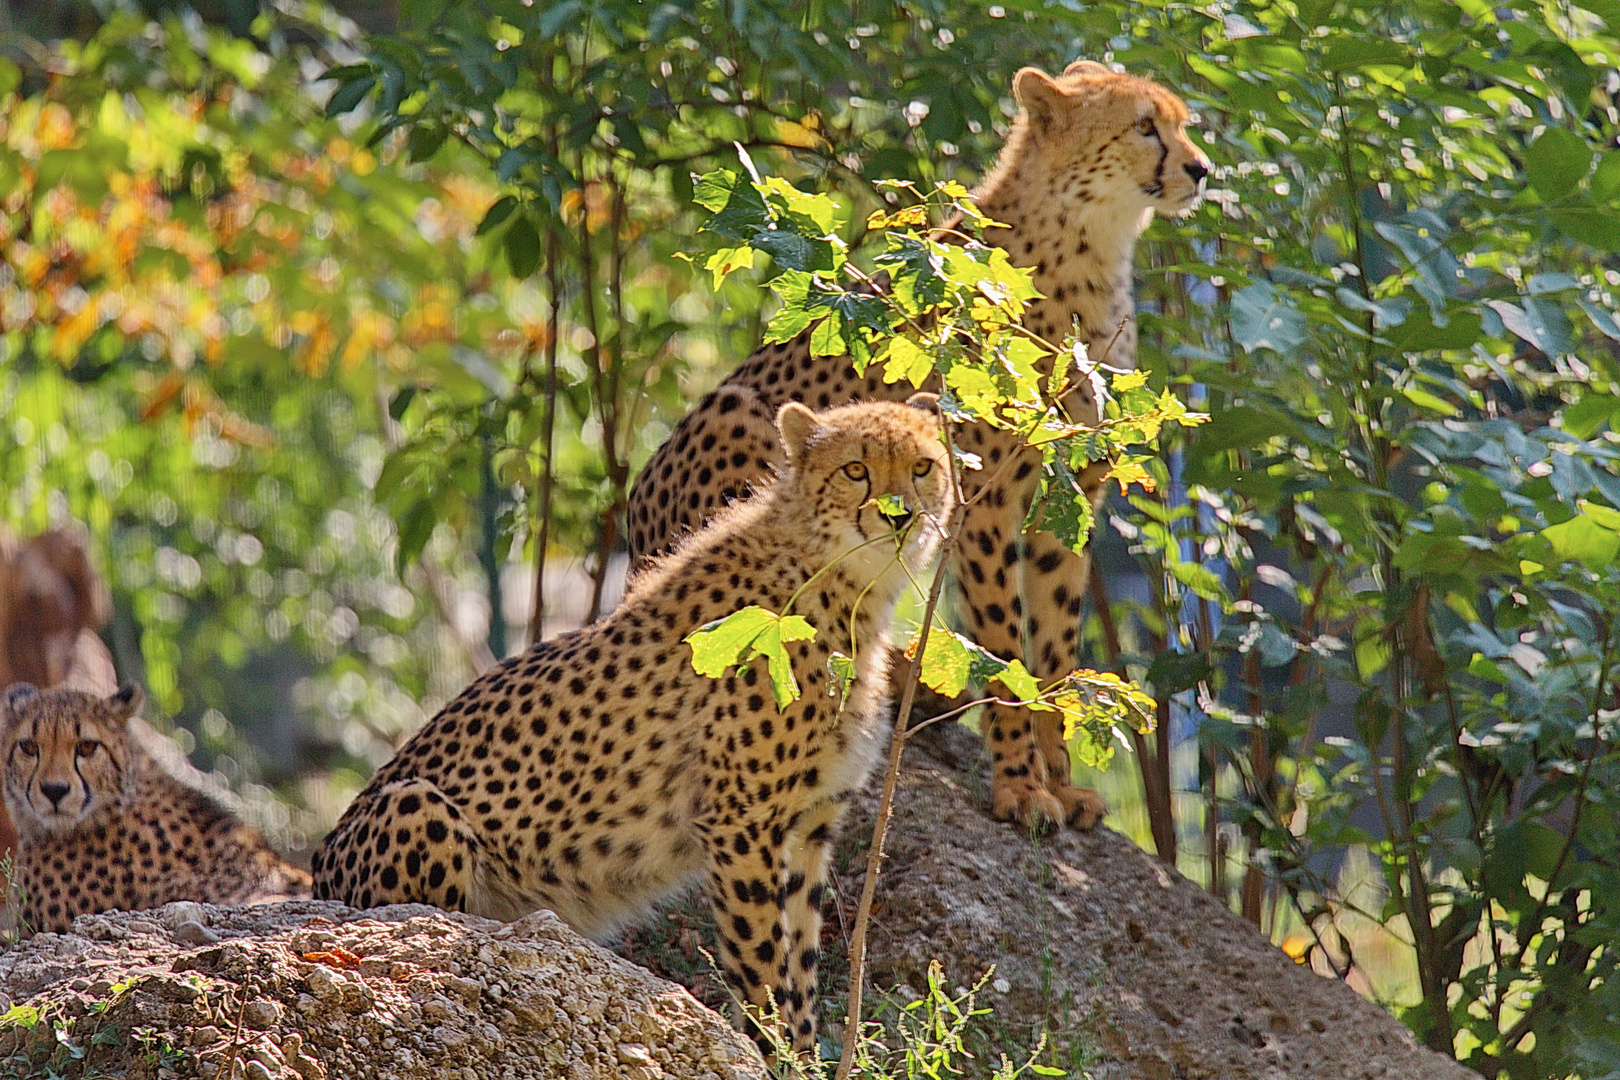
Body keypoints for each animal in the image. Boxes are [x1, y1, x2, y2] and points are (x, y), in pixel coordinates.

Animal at [309, 396, 952, 1055]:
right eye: (856, 470)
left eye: (923, 467)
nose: (902, 517)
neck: (845, 585)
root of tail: (318, 876)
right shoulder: (742, 822)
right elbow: (765, 965)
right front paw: (772, 1052)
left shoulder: (808, 825)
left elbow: (799, 962)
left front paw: (800, 1055)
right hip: (418, 803)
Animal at [625, 61, 1211, 829]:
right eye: (1145, 126)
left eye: (1181, 125)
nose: (1201, 170)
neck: (1090, 244)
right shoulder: (981, 497)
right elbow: (1002, 641)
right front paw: (1021, 786)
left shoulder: (1069, 501)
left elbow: (1053, 643)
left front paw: (1060, 780)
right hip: (740, 422)